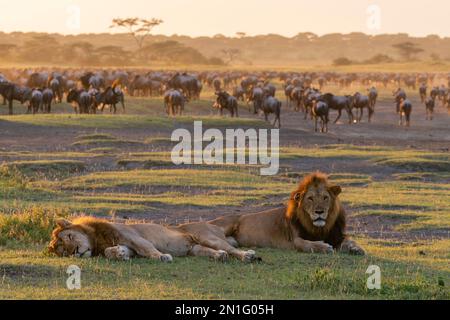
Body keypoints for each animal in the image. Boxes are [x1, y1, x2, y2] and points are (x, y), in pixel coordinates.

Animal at [211, 172, 366, 255]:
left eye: (325, 198)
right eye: (310, 198)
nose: (319, 212)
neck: (319, 228)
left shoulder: (337, 235)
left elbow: (350, 240)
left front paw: (356, 248)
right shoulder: (294, 239)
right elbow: (306, 244)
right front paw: (324, 247)